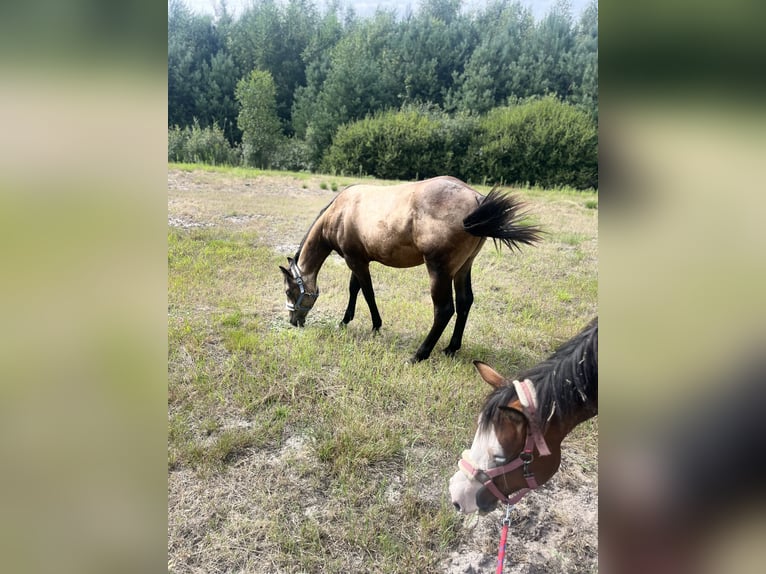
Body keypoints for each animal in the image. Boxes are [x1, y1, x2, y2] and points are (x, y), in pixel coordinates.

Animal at [279, 176, 542, 363]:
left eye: (288, 291)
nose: (293, 321)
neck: (341, 211)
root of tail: (476, 199)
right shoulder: (359, 260)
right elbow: (355, 289)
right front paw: (345, 321)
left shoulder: (356, 261)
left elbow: (367, 292)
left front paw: (375, 325)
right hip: (463, 267)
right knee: (465, 301)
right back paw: (451, 348)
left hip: (439, 270)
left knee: (444, 310)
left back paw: (419, 355)